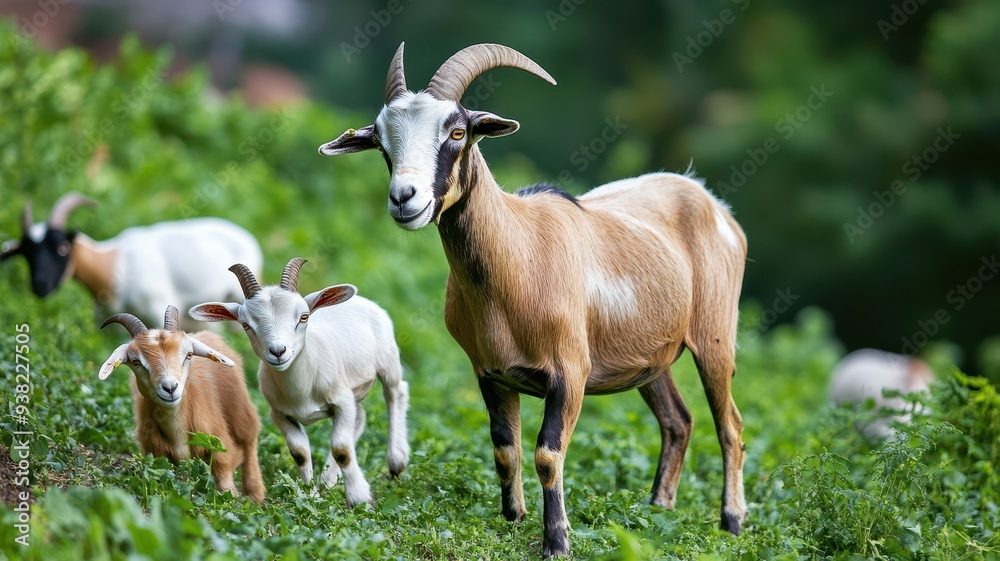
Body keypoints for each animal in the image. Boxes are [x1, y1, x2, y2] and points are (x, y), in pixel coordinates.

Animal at [0, 192, 263, 331]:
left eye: (62, 247)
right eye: (25, 253)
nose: (40, 286)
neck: (113, 263)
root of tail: (248, 238)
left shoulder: (159, 308)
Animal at [99, 306, 265, 503]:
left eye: (189, 354)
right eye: (136, 362)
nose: (170, 388)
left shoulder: (220, 445)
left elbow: (224, 476)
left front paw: (231, 497)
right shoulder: (158, 455)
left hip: (241, 413)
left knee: (250, 439)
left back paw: (256, 495)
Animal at [189, 258, 410, 507]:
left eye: (303, 317)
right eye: (246, 325)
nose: (278, 352)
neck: (302, 392)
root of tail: (361, 300)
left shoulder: (341, 401)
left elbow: (341, 449)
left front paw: (359, 498)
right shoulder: (280, 413)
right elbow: (300, 453)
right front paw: (310, 495)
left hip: (387, 357)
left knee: (395, 392)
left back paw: (397, 461)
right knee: (360, 417)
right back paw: (327, 481)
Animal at [318, 43, 748, 557]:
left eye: (457, 132)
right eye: (383, 143)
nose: (405, 199)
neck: (518, 256)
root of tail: (710, 201)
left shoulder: (570, 373)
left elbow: (547, 453)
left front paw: (556, 541)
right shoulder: (491, 373)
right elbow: (505, 449)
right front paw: (514, 519)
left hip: (715, 336)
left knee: (730, 425)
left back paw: (732, 522)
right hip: (651, 358)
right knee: (678, 421)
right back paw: (658, 511)